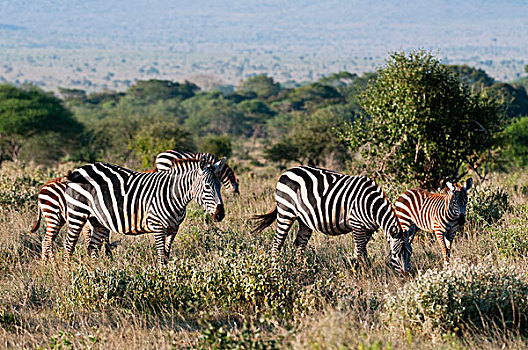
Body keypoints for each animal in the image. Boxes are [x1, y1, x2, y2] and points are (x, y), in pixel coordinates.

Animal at [250, 165, 414, 274]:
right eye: (395, 255)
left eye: (410, 254)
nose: (406, 276)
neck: (372, 206)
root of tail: (287, 171)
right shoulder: (357, 224)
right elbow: (359, 250)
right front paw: (357, 271)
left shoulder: (368, 229)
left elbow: (363, 250)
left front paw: (366, 269)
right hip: (286, 211)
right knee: (277, 242)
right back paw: (275, 269)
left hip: (304, 220)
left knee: (299, 244)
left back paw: (301, 269)